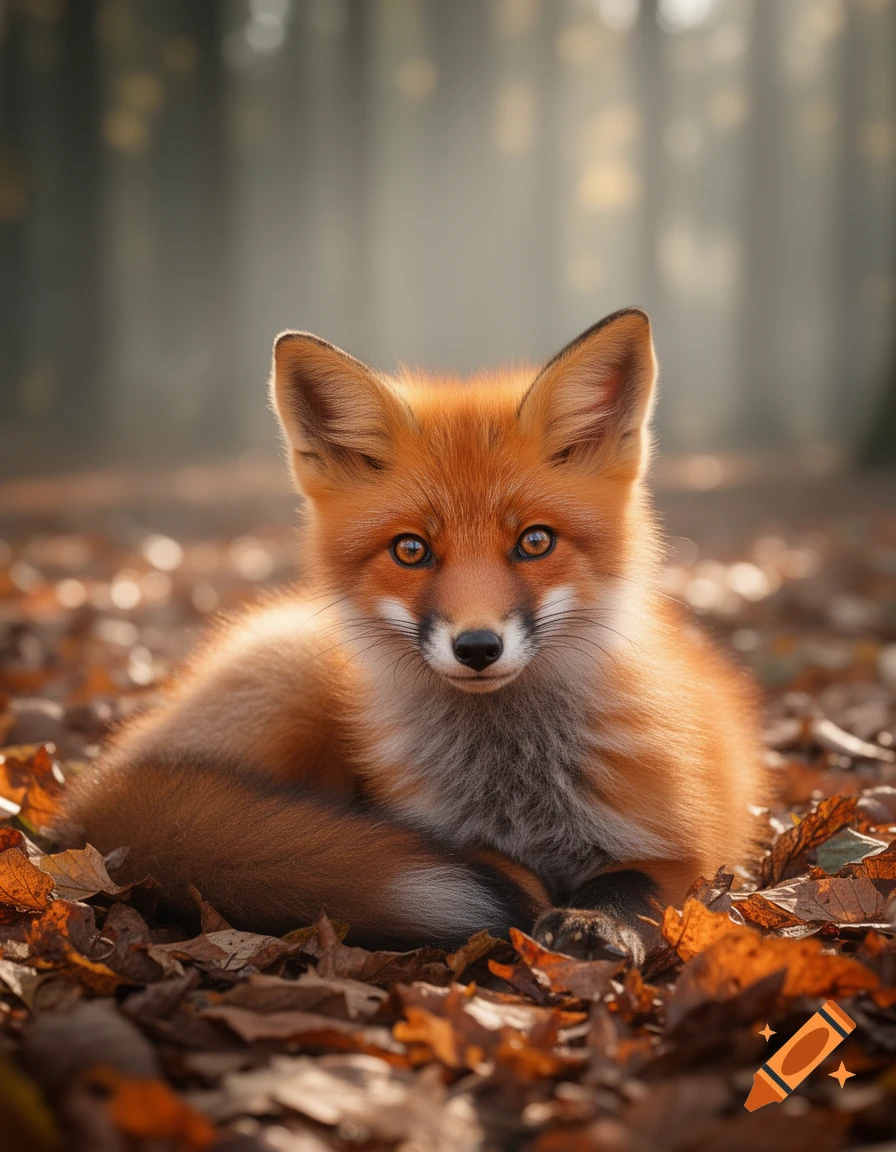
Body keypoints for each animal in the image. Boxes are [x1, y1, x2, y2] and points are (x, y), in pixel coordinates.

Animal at [60, 308, 765, 964]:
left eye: (535, 541)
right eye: (411, 550)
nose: (477, 648)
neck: (517, 785)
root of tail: (95, 795)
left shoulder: (690, 846)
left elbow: (633, 883)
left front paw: (596, 922)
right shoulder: (447, 836)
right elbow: (504, 874)